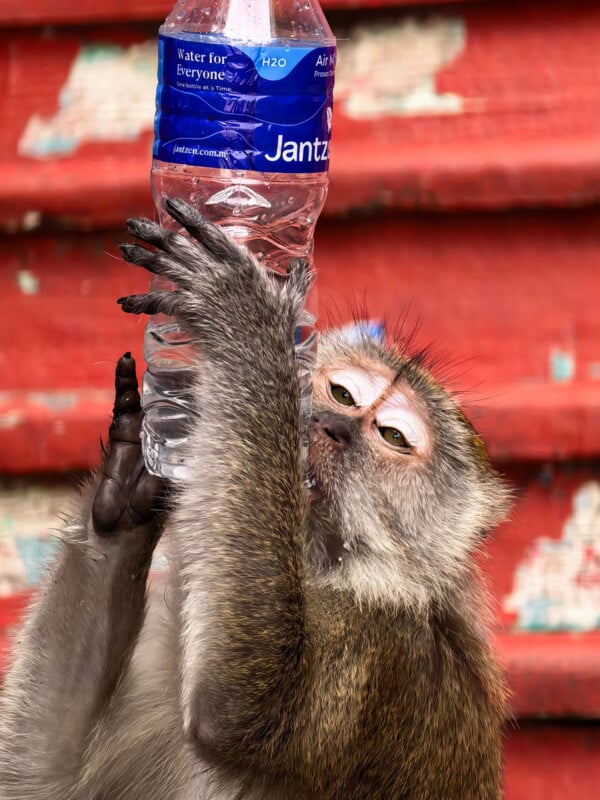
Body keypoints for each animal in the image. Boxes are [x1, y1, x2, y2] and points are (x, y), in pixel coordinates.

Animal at [0, 198, 509, 799]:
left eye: (393, 436)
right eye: (342, 394)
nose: (332, 426)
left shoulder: (377, 647)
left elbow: (242, 708)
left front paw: (248, 319)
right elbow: (38, 779)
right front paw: (126, 495)